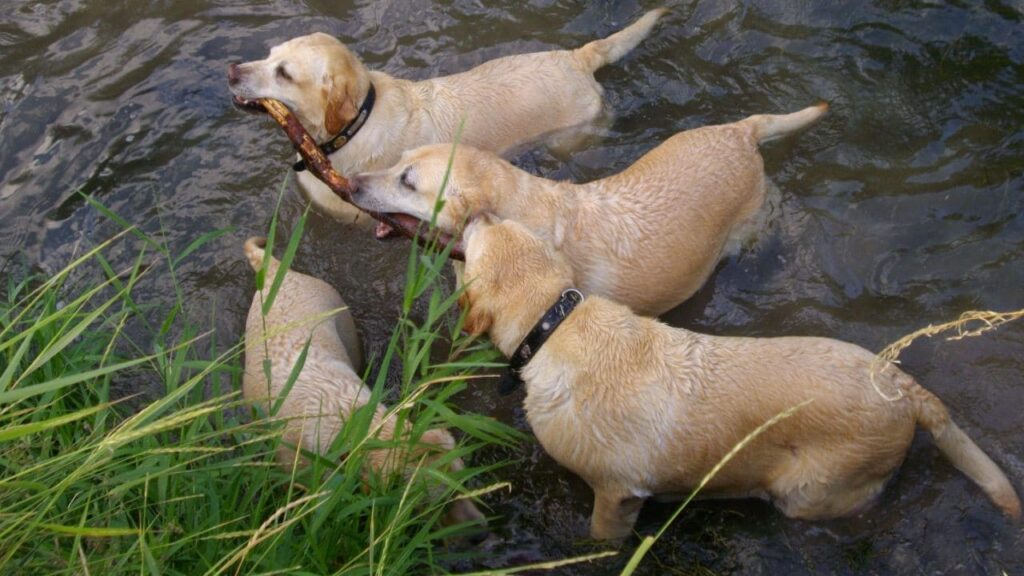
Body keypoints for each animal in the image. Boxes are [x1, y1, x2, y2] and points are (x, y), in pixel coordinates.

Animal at [228, 10, 667, 224]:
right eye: (269, 54)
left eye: (284, 73)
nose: (232, 70)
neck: (352, 129)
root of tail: (578, 57)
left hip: (570, 140)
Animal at [460, 217, 1019, 541]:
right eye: (500, 222)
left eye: (478, 235)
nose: (475, 214)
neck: (556, 325)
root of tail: (904, 389)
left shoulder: (616, 494)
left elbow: (601, 539)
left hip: (806, 492)